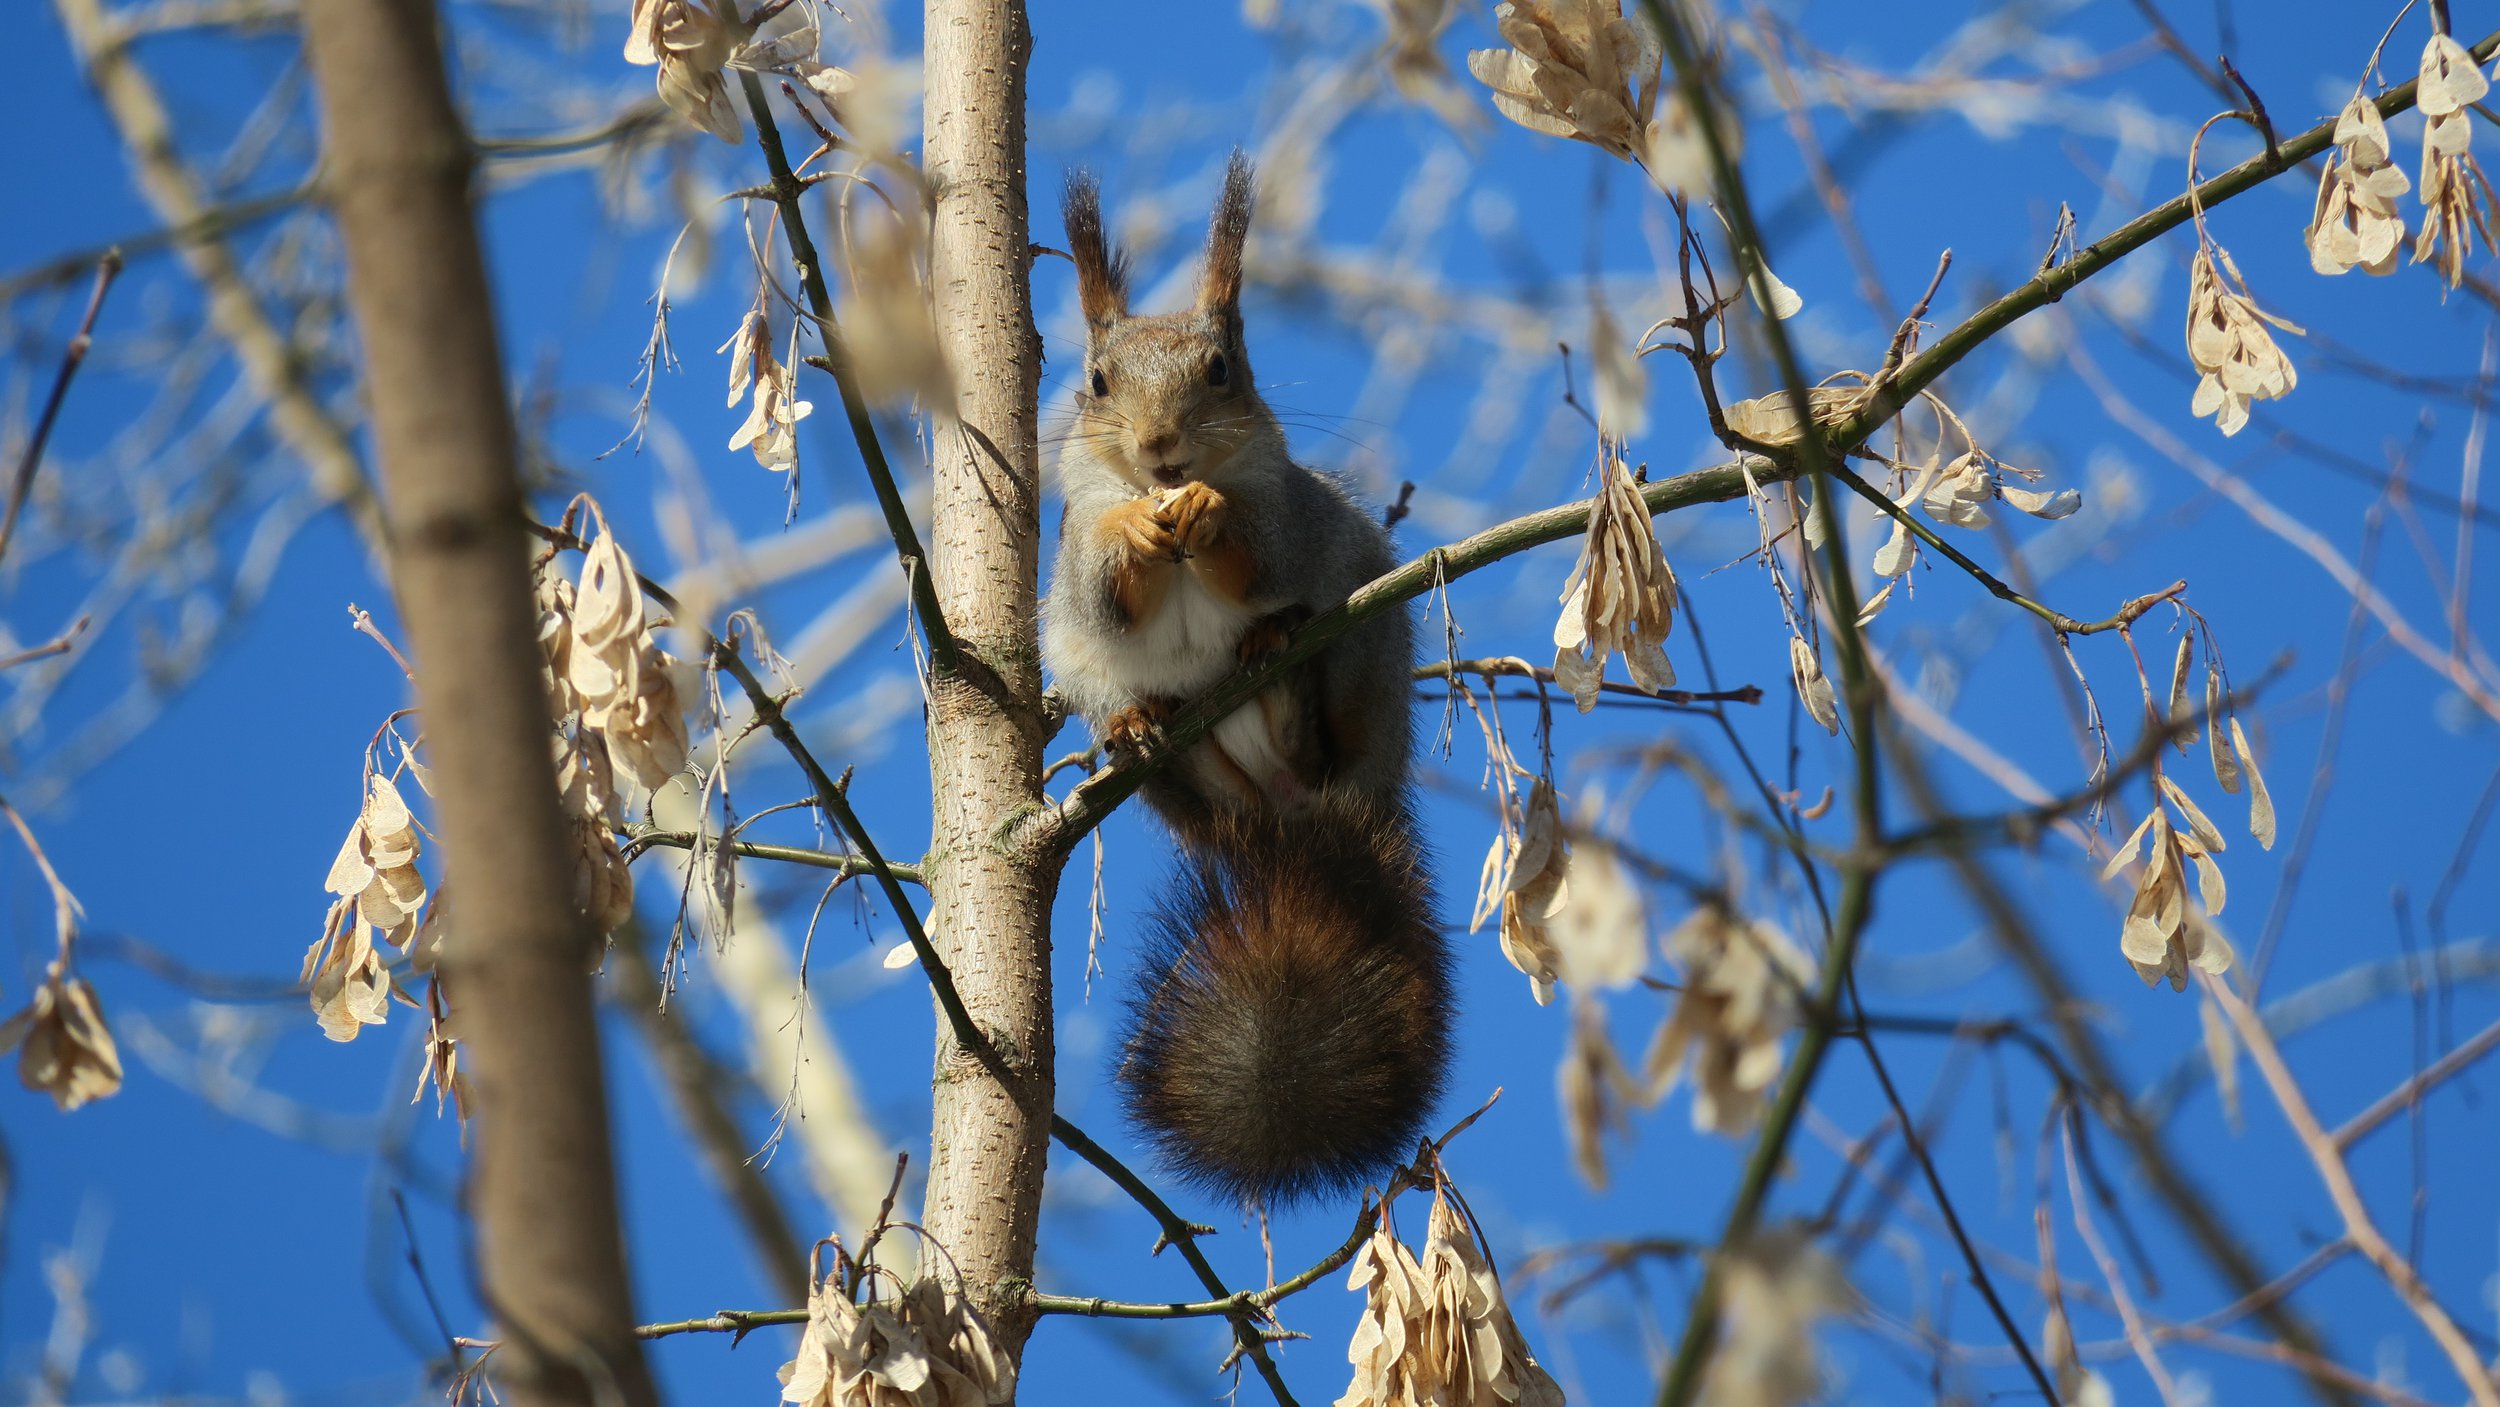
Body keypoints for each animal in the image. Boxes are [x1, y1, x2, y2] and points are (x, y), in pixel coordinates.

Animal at [1040, 156, 1460, 1209]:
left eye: (1222, 368)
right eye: (1096, 382)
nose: (1162, 449)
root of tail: (1292, 811)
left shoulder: (1289, 515)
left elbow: (1254, 546)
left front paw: (1209, 511)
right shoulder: (1073, 551)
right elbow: (1104, 590)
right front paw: (1137, 530)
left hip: (1363, 652)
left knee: (1318, 708)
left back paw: (1282, 672)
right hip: (1149, 743)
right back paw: (1143, 724)